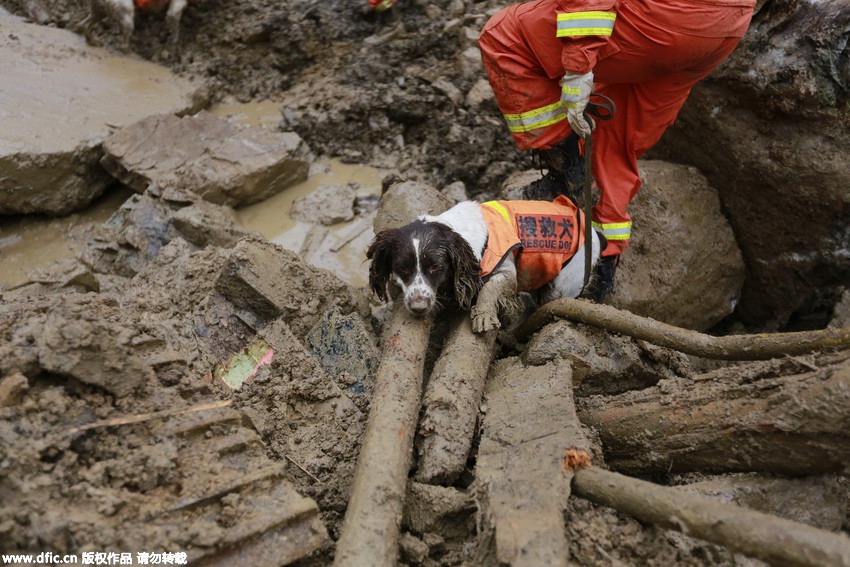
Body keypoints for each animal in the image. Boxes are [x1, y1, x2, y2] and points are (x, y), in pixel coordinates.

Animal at [366, 197, 604, 332]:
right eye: (402, 268)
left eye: (435, 267)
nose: (418, 308)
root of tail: (592, 230)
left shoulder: (506, 268)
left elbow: (491, 287)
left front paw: (483, 315)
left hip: (567, 281)